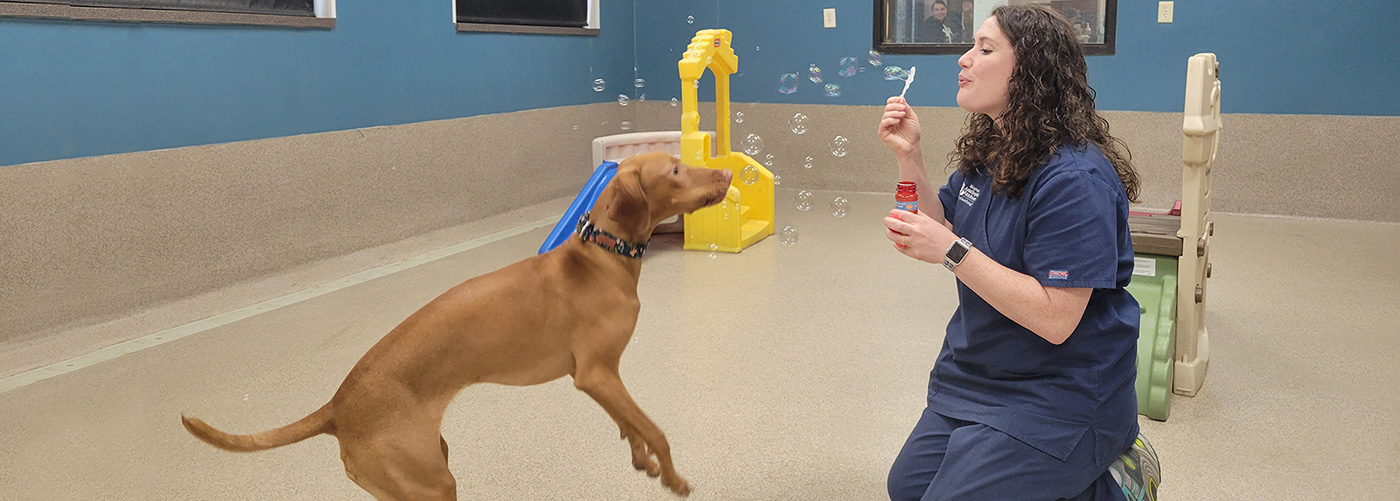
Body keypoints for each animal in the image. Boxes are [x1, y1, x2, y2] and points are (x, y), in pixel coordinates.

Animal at [180, 152, 733, 501]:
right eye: (677, 169)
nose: (728, 172)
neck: (602, 257)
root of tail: (338, 406)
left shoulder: (600, 378)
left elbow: (630, 426)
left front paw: (644, 463)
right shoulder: (595, 373)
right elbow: (655, 428)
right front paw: (675, 480)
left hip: (428, 466)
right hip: (430, 484)